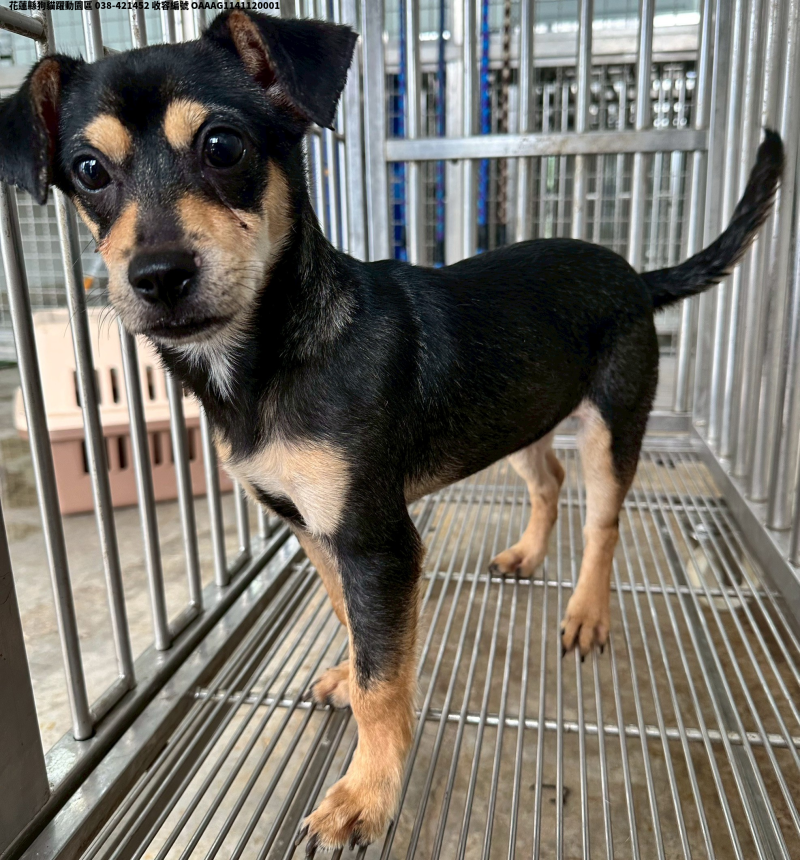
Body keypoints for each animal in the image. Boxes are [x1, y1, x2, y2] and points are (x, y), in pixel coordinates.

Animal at [0, 10, 782, 852]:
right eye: (87, 170)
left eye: (223, 146)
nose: (157, 277)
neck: (270, 360)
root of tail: (637, 276)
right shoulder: (313, 528)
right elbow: (354, 625)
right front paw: (351, 677)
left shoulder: (378, 540)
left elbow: (384, 683)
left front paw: (368, 792)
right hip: (521, 413)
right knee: (549, 482)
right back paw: (527, 555)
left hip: (613, 420)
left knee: (602, 518)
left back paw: (586, 614)